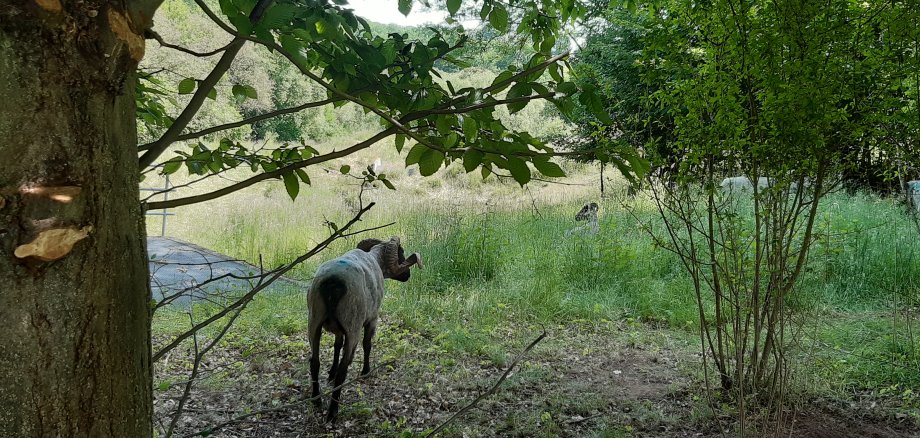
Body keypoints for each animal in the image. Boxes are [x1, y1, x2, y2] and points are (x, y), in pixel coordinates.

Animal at [310, 238, 424, 422]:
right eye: (401, 252)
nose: (407, 276)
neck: (375, 258)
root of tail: (333, 282)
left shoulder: (339, 329)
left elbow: (337, 346)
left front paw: (331, 372)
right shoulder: (372, 318)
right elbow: (367, 344)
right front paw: (365, 371)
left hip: (314, 321)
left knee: (314, 362)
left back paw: (316, 400)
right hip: (353, 324)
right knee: (343, 369)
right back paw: (333, 411)